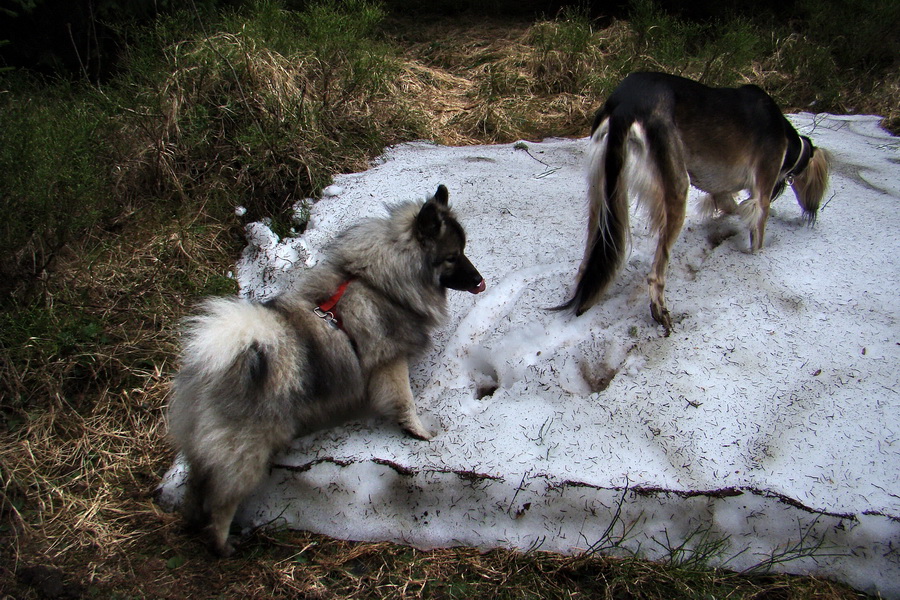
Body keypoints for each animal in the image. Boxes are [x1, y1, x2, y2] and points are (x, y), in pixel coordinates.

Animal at [168, 185, 486, 556]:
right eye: (451, 257)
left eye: (461, 252)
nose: (480, 280)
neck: (378, 284)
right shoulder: (389, 363)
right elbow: (404, 402)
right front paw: (420, 433)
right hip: (245, 455)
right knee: (221, 502)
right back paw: (223, 546)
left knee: (198, 487)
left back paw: (192, 521)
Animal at [560, 72, 832, 332]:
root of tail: (626, 103)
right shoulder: (762, 193)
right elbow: (759, 230)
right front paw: (758, 255)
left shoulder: (722, 191)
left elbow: (731, 205)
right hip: (676, 185)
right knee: (656, 272)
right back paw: (659, 310)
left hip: (602, 190)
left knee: (590, 257)